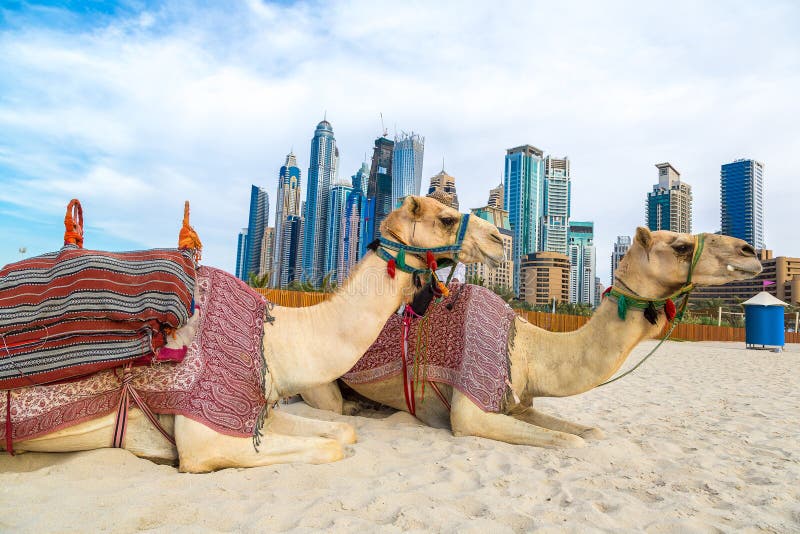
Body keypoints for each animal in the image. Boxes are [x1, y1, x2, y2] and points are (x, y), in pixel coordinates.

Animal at [1, 196, 504, 472]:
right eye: (445, 216)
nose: (502, 238)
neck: (275, 342)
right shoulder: (206, 439)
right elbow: (330, 450)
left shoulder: (260, 410)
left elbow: (343, 433)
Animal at [302, 227, 763, 448]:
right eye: (681, 245)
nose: (750, 251)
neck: (528, 348)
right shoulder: (471, 410)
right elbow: (569, 442)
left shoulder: (520, 401)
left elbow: (587, 433)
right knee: (330, 405)